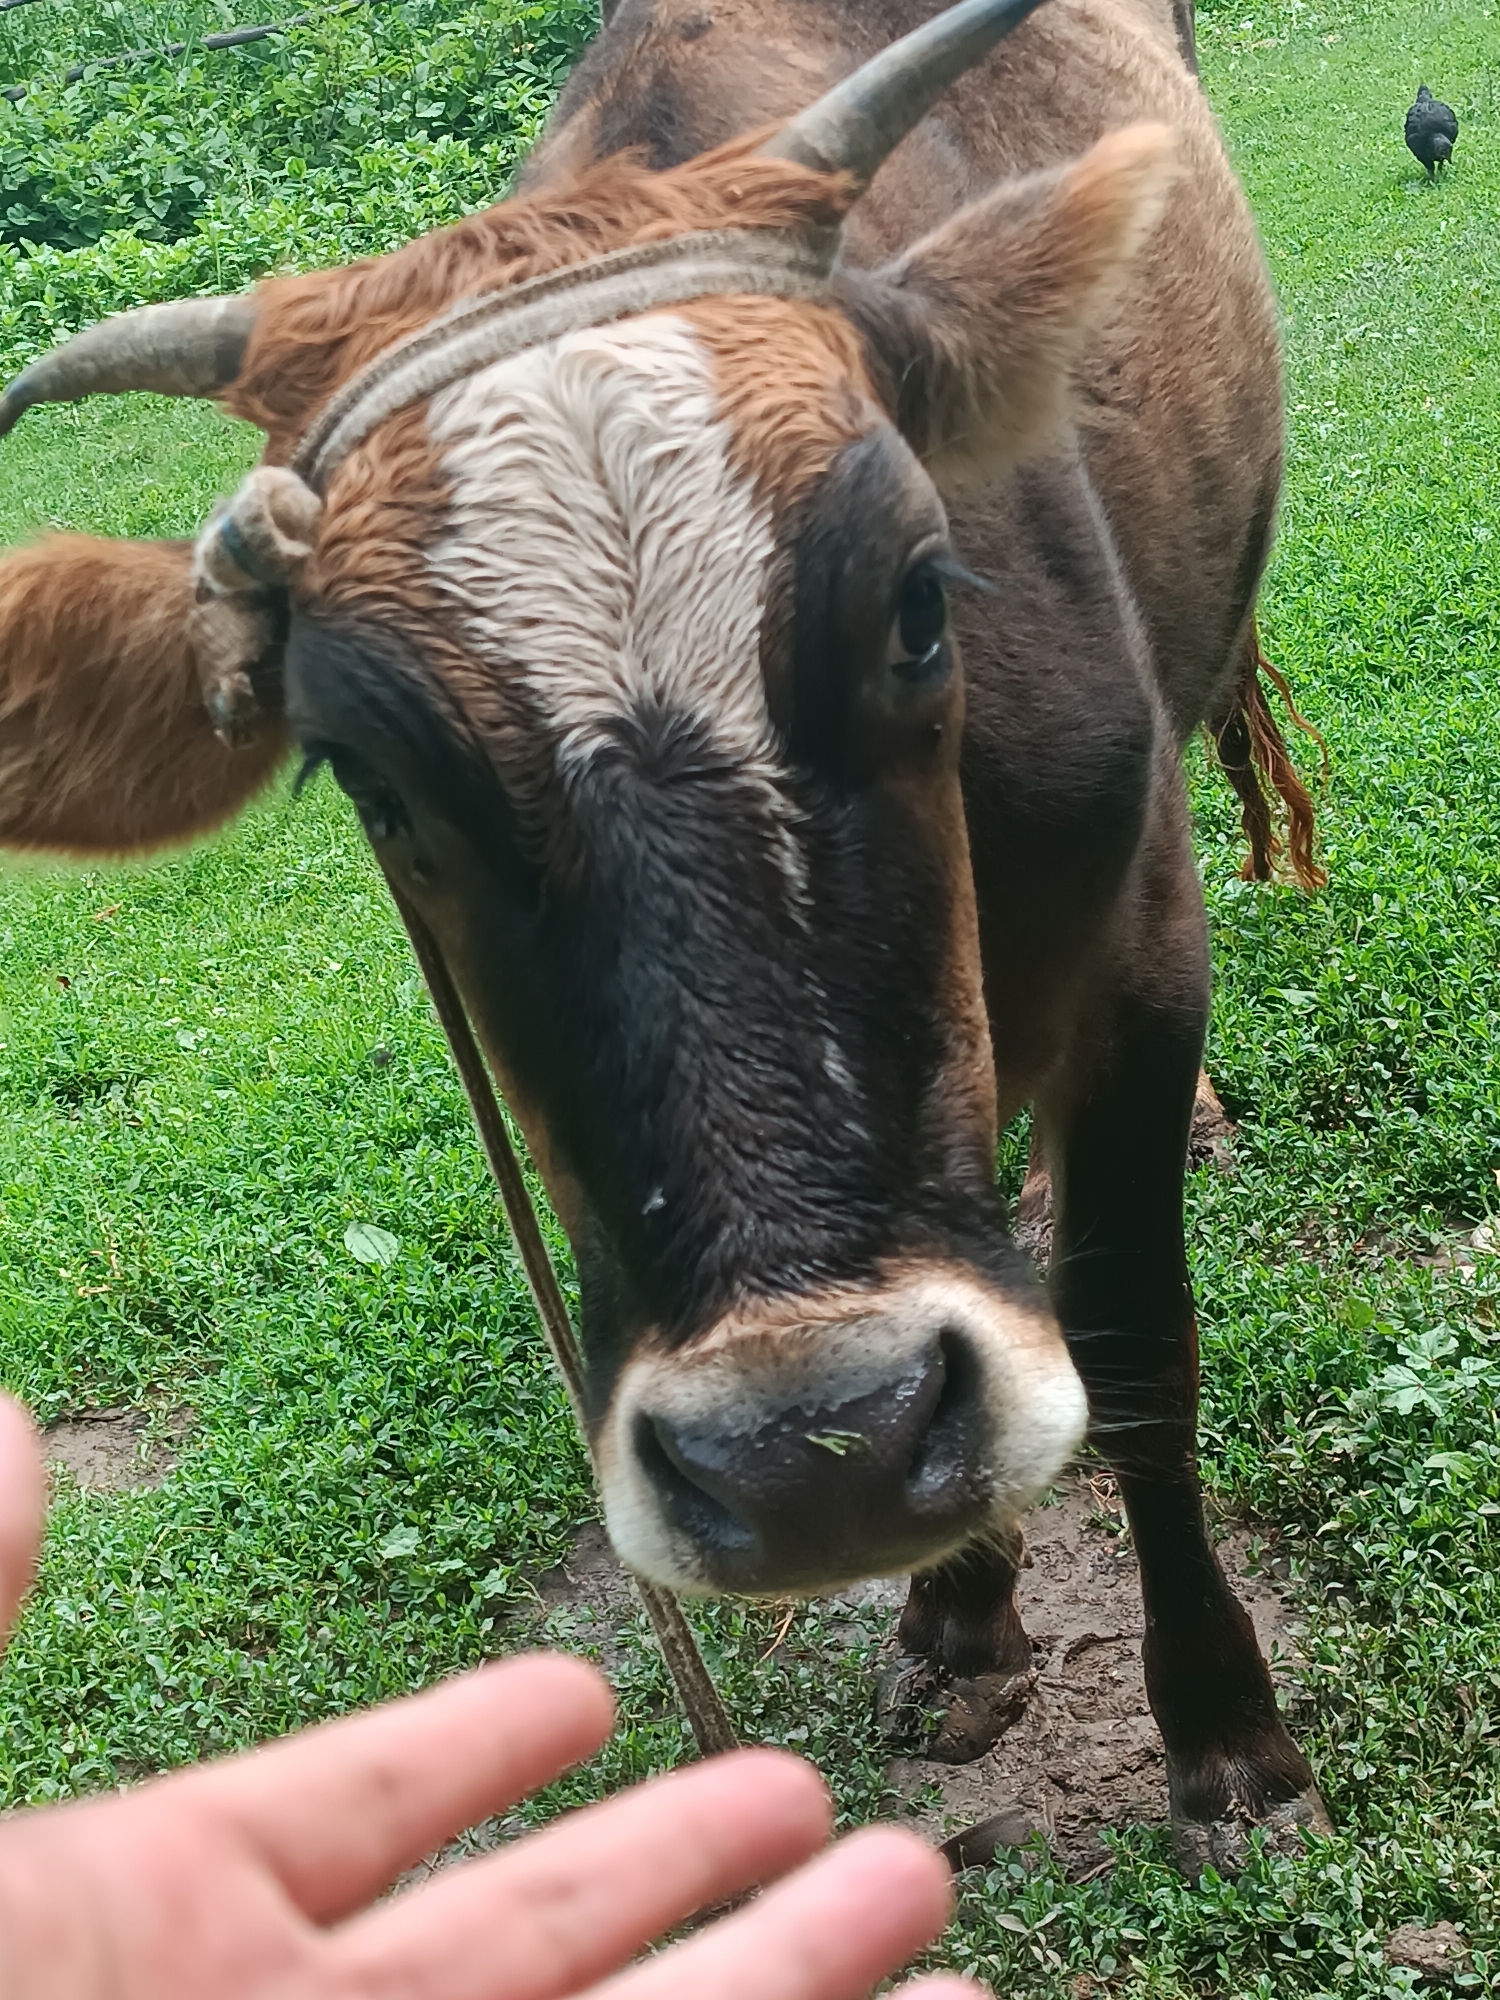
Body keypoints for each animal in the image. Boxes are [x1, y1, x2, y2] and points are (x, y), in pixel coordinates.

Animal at [0, 0, 1327, 1873]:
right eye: (368, 779)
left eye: (921, 606)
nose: (808, 1455)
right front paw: (958, 1619)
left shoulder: (1141, 942)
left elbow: (1136, 1329)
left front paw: (1223, 1732)